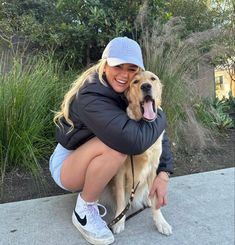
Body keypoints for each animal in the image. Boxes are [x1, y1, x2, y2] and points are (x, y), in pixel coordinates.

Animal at [109, 71, 172, 235]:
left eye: (152, 79)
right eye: (136, 81)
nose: (146, 86)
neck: (143, 125)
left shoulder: (153, 168)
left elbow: (156, 198)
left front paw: (160, 222)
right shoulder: (119, 172)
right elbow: (120, 198)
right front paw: (119, 220)